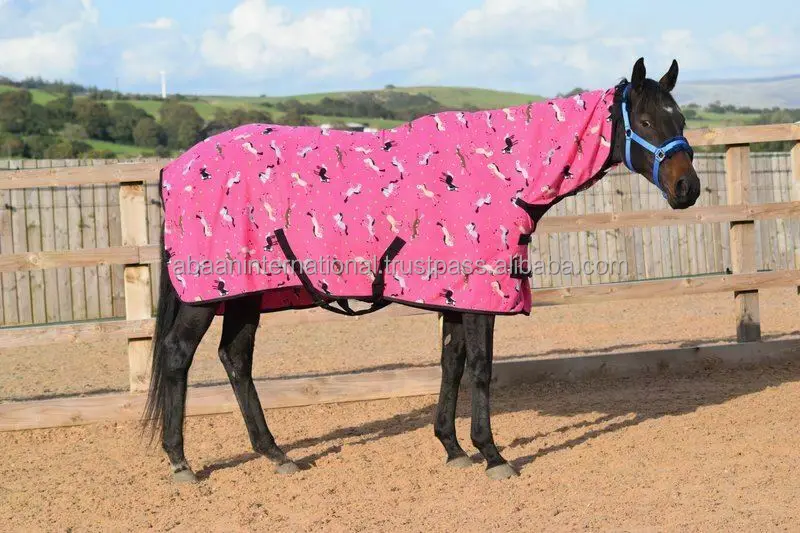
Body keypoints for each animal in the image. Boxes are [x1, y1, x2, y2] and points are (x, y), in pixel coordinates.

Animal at [143, 57, 701, 482]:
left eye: (681, 121)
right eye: (645, 122)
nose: (687, 189)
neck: (500, 173)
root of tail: (176, 168)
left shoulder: (455, 296)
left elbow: (451, 362)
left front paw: (453, 448)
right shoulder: (480, 297)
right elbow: (480, 368)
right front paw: (492, 454)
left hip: (246, 293)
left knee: (236, 358)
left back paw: (276, 454)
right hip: (207, 296)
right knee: (177, 355)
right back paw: (181, 462)